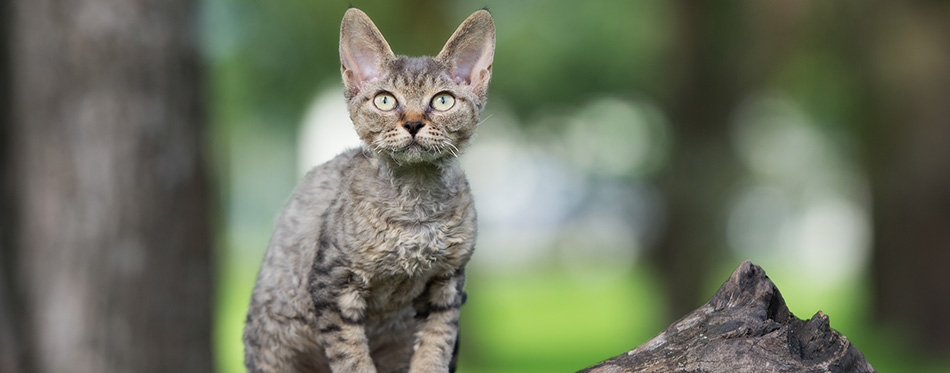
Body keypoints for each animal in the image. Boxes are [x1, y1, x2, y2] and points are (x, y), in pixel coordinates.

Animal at [242, 6, 494, 372]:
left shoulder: (447, 287)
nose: (414, 123)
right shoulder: (333, 284)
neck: (414, 207)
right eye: (385, 101)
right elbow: (352, 360)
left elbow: (435, 349)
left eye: (443, 101)